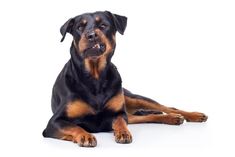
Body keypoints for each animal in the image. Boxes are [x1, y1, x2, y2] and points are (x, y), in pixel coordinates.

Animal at [42, 10, 207, 147]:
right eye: (79, 27)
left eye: (103, 25)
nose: (91, 35)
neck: (95, 77)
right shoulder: (54, 122)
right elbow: (74, 126)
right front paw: (85, 135)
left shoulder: (118, 113)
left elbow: (120, 121)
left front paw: (123, 132)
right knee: (146, 116)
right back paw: (172, 118)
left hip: (132, 97)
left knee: (166, 108)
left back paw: (191, 115)